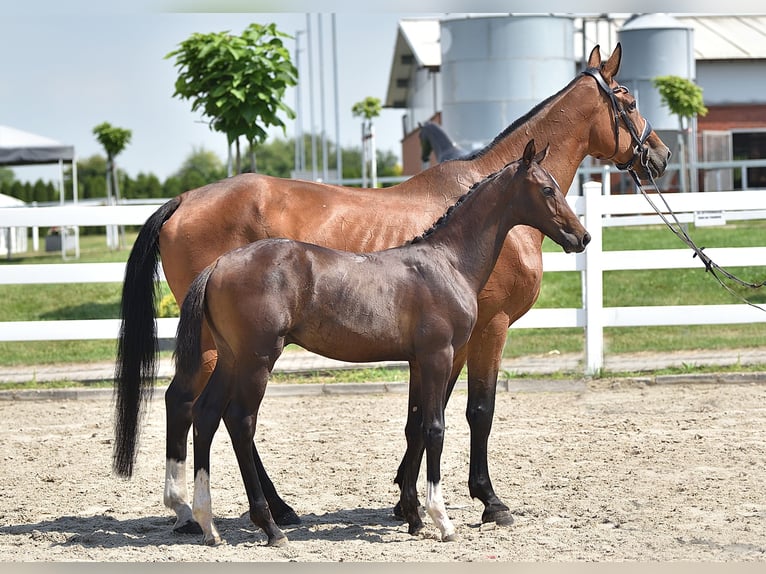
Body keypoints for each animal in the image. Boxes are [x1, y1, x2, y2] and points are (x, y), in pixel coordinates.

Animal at [112, 44, 672, 536]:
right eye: (627, 100)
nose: (661, 155)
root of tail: (184, 199)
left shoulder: (438, 347)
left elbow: (420, 418)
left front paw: (408, 503)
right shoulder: (486, 331)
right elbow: (474, 412)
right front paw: (486, 502)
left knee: (206, 411)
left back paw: (251, 511)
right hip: (224, 348)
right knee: (193, 405)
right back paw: (204, 511)